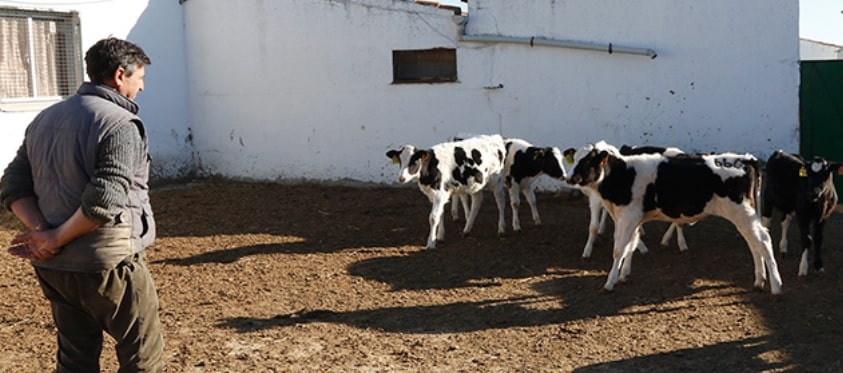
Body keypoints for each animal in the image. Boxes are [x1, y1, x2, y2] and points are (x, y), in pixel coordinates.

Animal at [568, 144, 784, 294]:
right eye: (574, 159)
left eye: (588, 162)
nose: (569, 178)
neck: (623, 175)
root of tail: (745, 159)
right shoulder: (631, 219)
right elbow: (631, 246)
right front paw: (623, 275)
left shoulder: (627, 218)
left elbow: (619, 250)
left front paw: (609, 282)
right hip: (747, 216)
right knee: (754, 244)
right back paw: (759, 281)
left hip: (742, 213)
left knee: (764, 241)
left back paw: (776, 286)